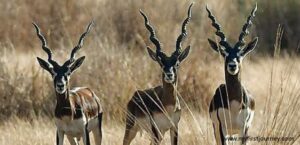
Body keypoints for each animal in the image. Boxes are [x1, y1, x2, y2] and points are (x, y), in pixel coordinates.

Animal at [123, 3, 193, 145]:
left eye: (177, 63)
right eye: (161, 63)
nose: (169, 75)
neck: (168, 106)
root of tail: (134, 95)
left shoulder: (174, 128)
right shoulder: (155, 129)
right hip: (131, 128)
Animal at [206, 4, 258, 145]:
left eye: (240, 55)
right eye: (225, 55)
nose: (232, 65)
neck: (234, 105)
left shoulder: (244, 129)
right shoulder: (221, 128)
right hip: (219, 131)